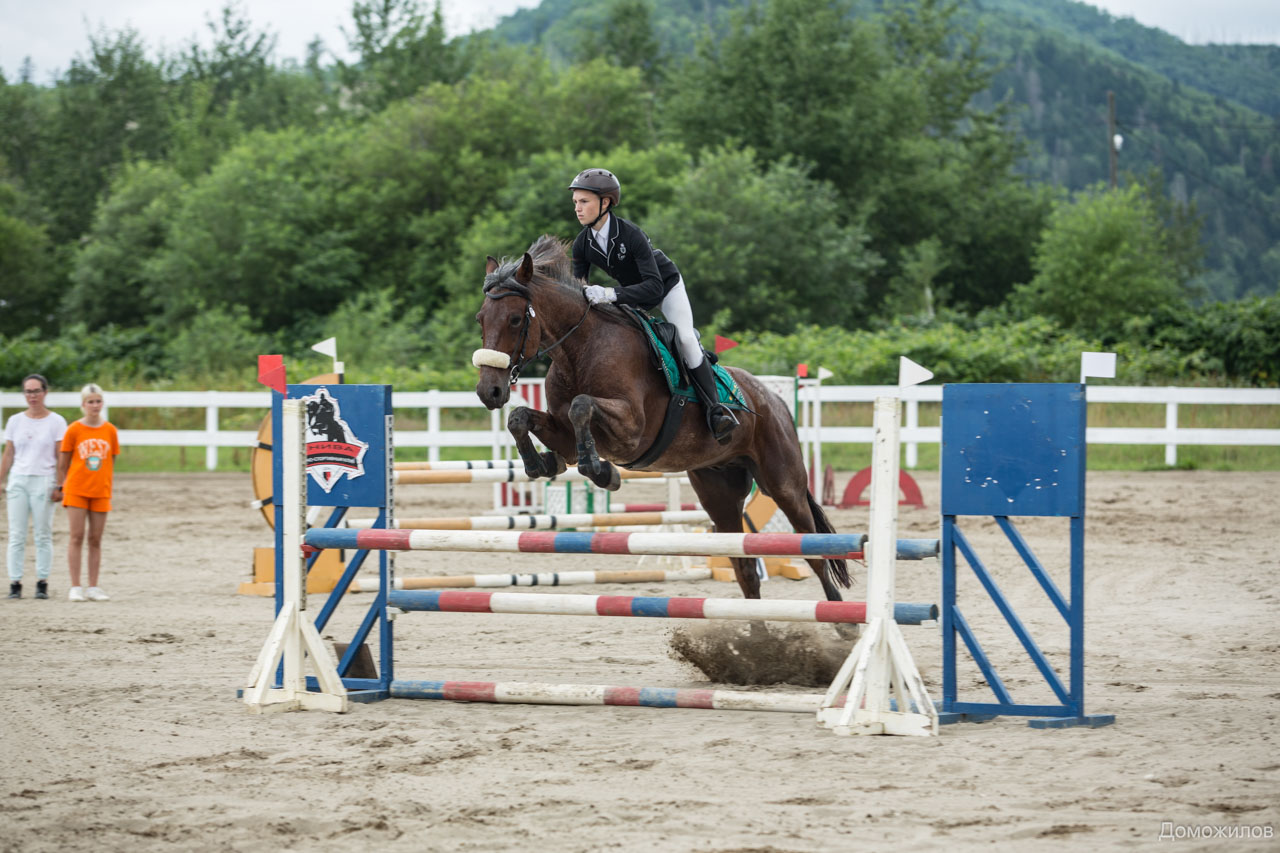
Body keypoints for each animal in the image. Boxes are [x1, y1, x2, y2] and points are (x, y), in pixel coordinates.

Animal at [471, 235, 849, 601]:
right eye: (480, 319)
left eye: (515, 319)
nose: (489, 391)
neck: (579, 351)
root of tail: (773, 398)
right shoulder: (564, 435)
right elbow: (520, 418)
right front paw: (542, 464)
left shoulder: (630, 430)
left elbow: (582, 406)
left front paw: (601, 471)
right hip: (719, 493)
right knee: (744, 567)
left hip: (784, 486)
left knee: (816, 555)